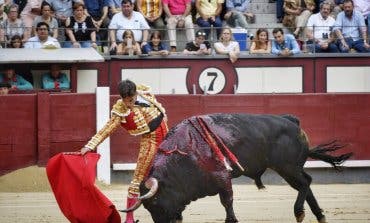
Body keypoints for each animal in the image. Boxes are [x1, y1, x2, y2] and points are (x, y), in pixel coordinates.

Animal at [123, 113, 352, 223]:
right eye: (147, 207)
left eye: (154, 202)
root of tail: (292, 121)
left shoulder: (223, 177)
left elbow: (227, 202)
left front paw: (231, 220)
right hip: (292, 168)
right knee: (307, 183)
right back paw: (319, 215)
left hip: (287, 168)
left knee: (305, 183)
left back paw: (299, 213)